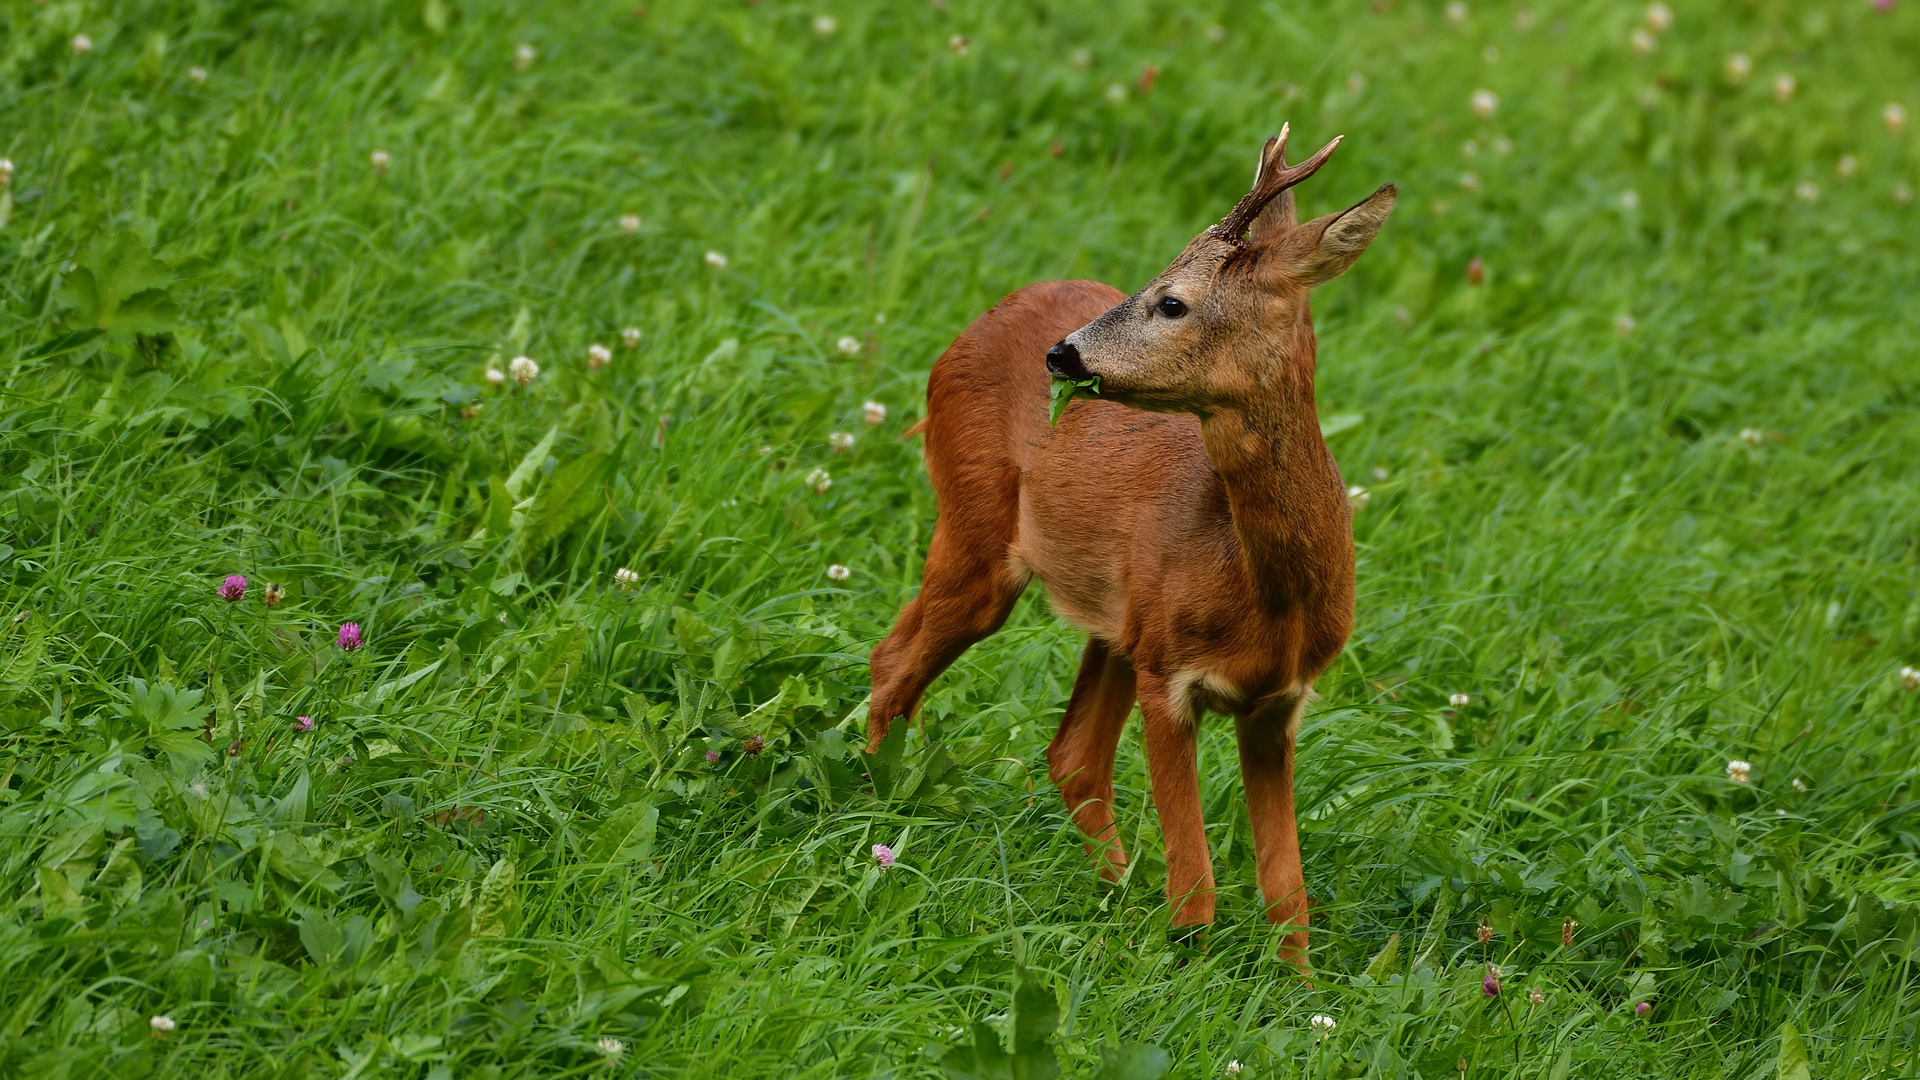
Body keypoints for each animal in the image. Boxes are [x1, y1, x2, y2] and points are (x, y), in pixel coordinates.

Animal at [871, 125, 1397, 957]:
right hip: (981, 531)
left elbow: (1289, 895)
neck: (1264, 592)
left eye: (1172, 301)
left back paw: (1113, 896)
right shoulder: (1169, 675)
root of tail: (980, 321)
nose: (1064, 356)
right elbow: (1197, 883)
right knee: (892, 663)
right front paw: (1186, 961)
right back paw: (867, 813)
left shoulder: (1277, 702)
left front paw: (1299, 988)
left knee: (1071, 756)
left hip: (1118, 621)